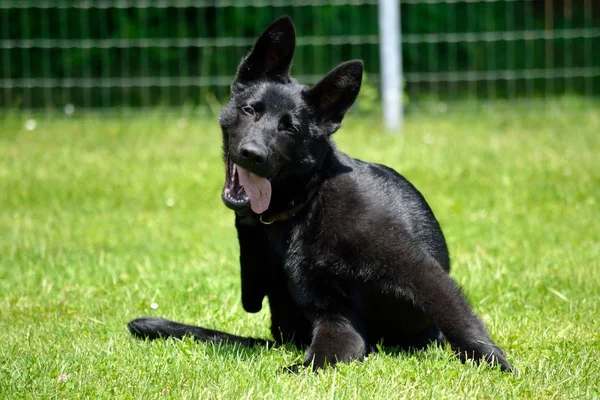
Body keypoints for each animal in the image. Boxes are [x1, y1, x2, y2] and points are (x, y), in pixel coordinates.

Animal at [129, 15, 512, 372]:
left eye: (290, 128)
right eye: (250, 110)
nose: (253, 154)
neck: (308, 203)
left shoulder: (417, 271)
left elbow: (458, 316)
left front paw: (496, 364)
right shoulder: (335, 316)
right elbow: (321, 355)